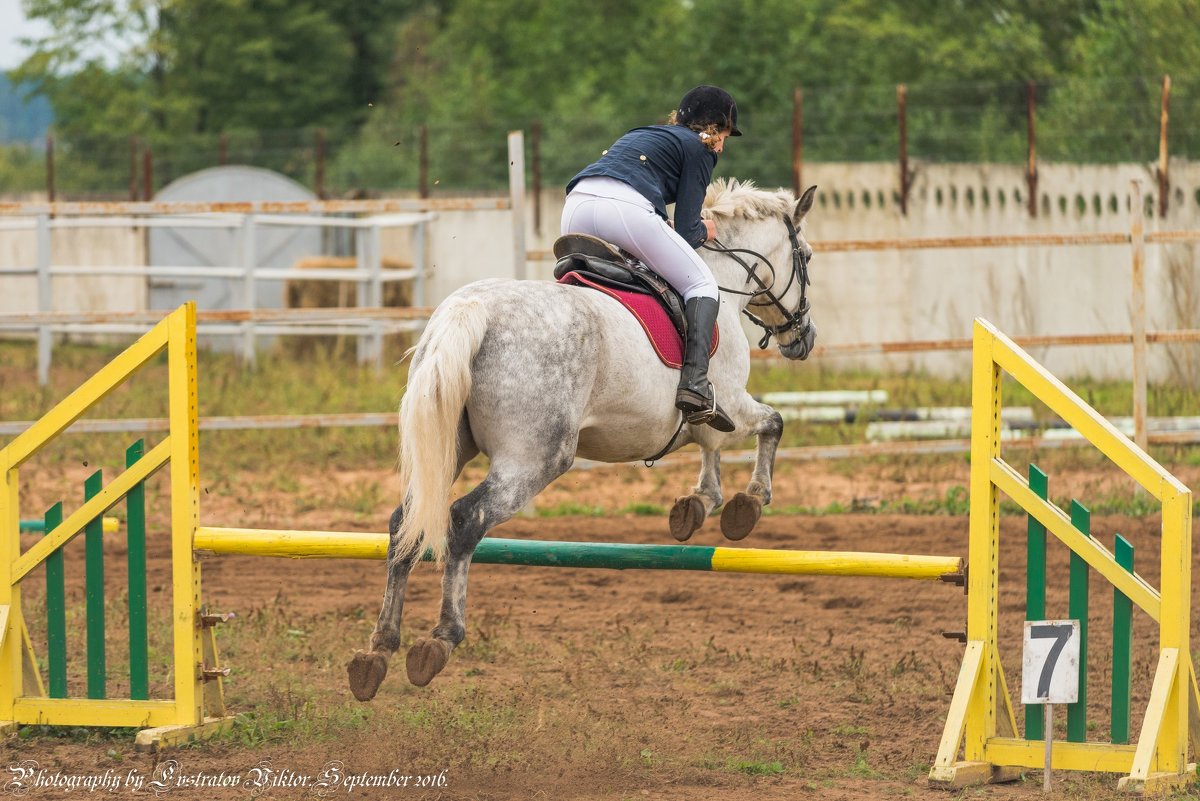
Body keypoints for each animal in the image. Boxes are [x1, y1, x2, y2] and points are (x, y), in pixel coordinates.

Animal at [345, 178, 816, 695]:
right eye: (808, 258)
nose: (804, 339)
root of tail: (472, 311)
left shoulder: (708, 418)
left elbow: (710, 453)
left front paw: (698, 505)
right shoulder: (730, 402)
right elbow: (773, 423)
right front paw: (748, 503)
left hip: (448, 449)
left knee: (403, 524)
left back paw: (378, 650)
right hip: (535, 459)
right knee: (466, 519)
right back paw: (440, 639)